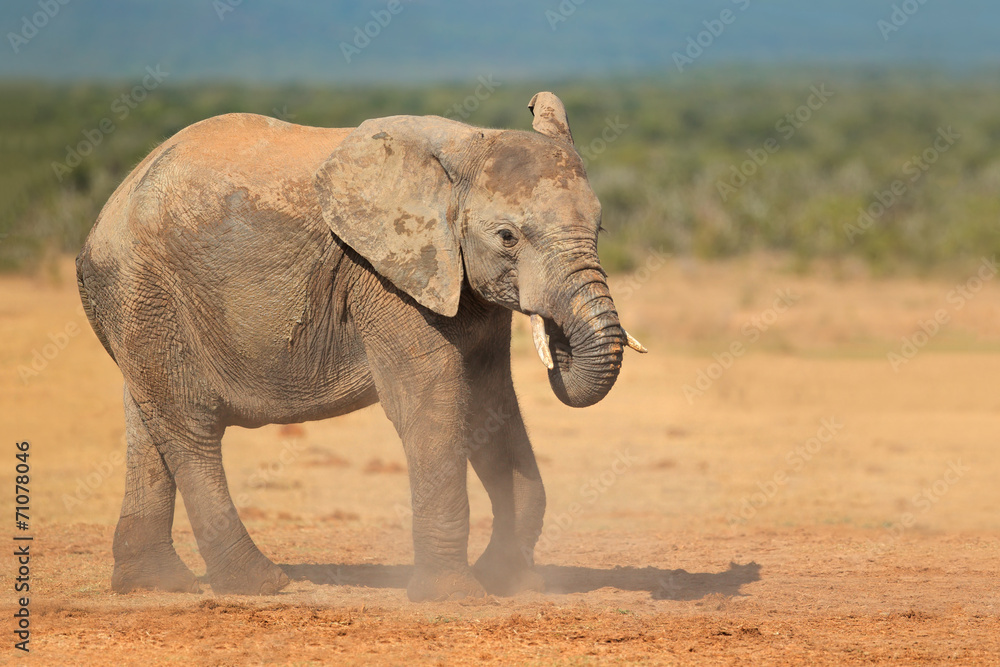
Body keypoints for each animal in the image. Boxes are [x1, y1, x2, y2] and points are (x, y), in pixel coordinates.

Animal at [76, 91, 645, 601]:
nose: (558, 342)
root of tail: (106, 212)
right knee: (189, 429)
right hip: (146, 290)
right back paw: (260, 585)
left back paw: (155, 585)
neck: (463, 147)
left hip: (138, 306)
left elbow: (491, 401)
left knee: (147, 421)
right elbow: (431, 398)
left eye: (599, 228)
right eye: (507, 237)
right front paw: (457, 596)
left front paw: (508, 583)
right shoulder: (383, 273)